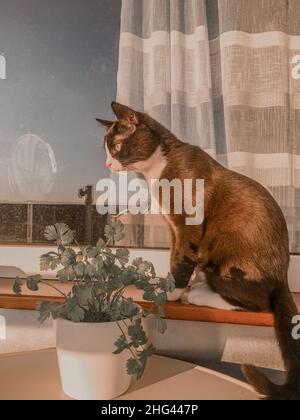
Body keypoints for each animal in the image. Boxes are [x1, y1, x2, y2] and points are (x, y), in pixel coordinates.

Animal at [98, 101, 300, 400]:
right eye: (106, 148)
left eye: (117, 146)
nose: (107, 163)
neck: (156, 170)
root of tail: (283, 278)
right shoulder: (173, 228)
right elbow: (174, 255)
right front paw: (166, 285)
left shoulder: (188, 222)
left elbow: (182, 258)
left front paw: (173, 293)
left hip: (228, 261)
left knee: (257, 303)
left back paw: (197, 295)